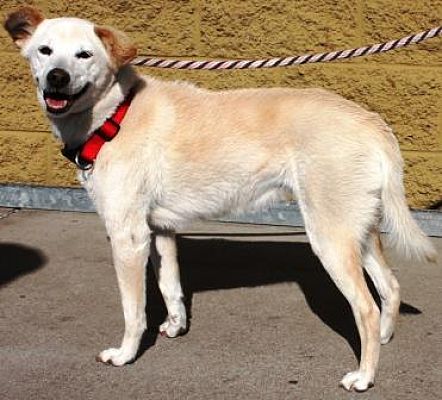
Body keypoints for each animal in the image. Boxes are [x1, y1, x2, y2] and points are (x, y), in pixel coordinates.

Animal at [5, 7, 436, 392]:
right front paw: (176, 326)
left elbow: (133, 310)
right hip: (357, 230)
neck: (116, 115)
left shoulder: (128, 237)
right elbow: (170, 286)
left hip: (330, 237)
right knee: (390, 287)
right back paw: (383, 339)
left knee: (366, 307)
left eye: (85, 54)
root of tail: (371, 121)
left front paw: (126, 354)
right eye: (45, 51)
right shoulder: (160, 230)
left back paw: (364, 376)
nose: (57, 77)